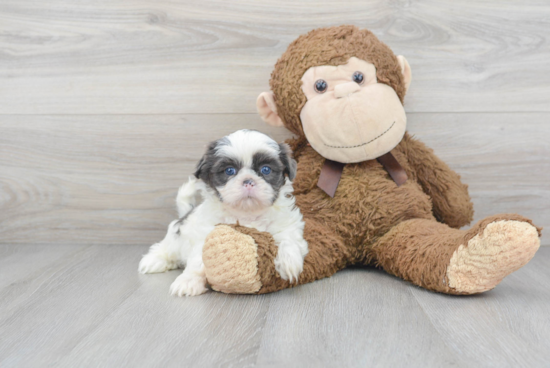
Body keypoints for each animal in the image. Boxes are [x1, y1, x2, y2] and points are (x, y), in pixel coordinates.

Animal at [139, 129, 310, 296]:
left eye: (266, 169)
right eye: (229, 171)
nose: (248, 181)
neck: (246, 213)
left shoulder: (288, 224)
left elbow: (288, 239)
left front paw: (289, 262)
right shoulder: (206, 234)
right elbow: (198, 260)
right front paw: (189, 281)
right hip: (175, 238)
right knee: (165, 248)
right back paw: (154, 260)